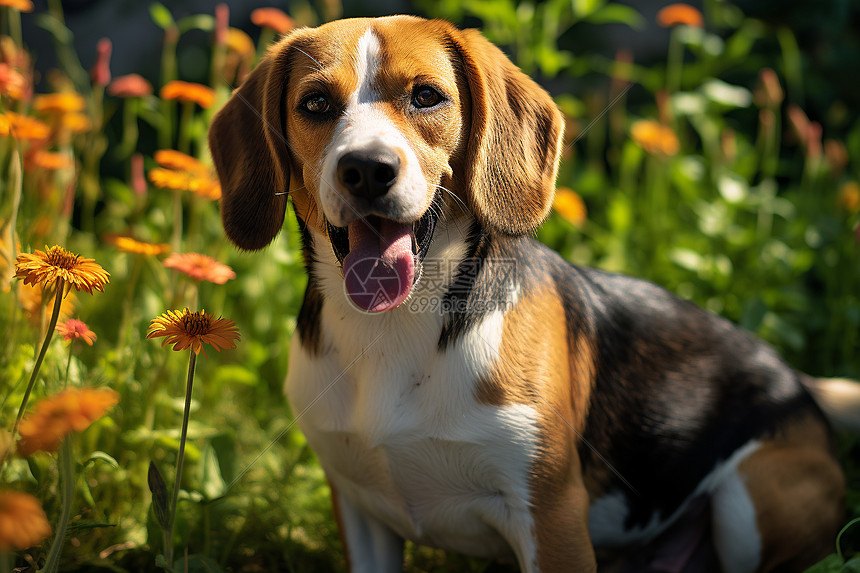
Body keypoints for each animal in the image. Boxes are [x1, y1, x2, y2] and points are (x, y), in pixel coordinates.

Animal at [208, 15, 852, 568]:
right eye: (315, 103)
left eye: (426, 96)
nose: (366, 169)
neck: (393, 329)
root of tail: (799, 386)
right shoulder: (360, 509)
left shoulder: (552, 517)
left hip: (748, 501)